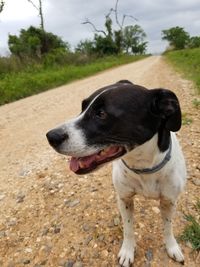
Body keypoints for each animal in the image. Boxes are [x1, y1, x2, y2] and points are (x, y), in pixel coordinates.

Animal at [46, 80, 186, 266]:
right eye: (83, 107)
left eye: (101, 114)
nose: (50, 136)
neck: (143, 167)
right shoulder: (124, 199)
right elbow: (128, 228)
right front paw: (127, 251)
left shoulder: (169, 201)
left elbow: (168, 227)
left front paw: (172, 247)